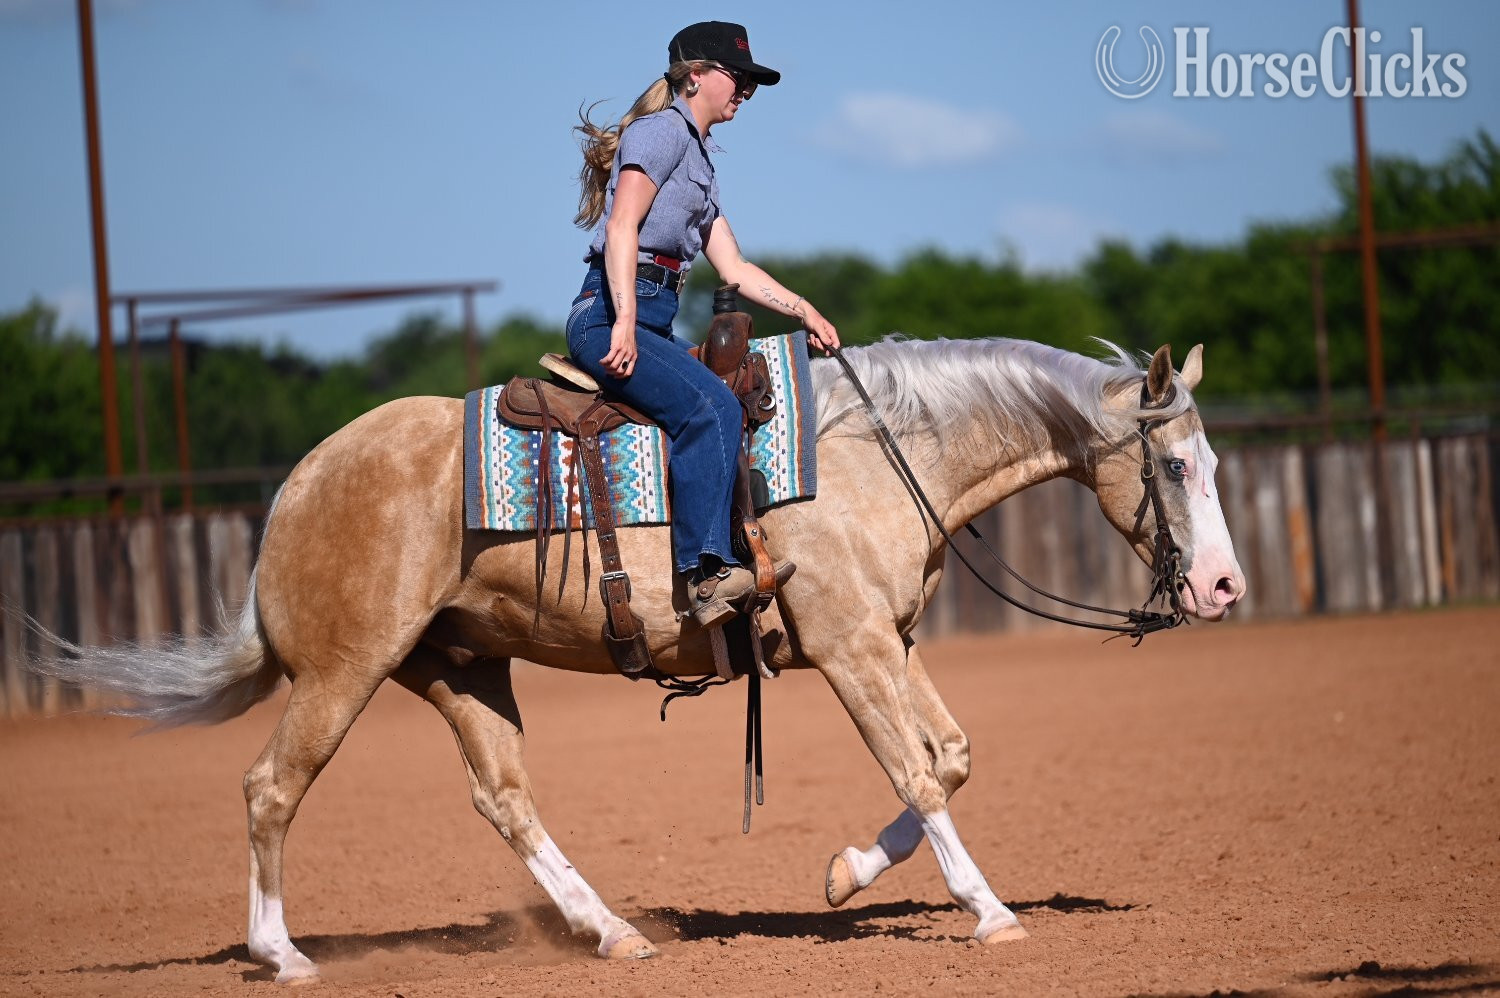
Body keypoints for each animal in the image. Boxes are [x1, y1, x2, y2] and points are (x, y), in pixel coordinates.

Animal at [37, 336, 1245, 983]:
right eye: (1176, 465)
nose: (1226, 588)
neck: (874, 451)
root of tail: (295, 486)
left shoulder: (887, 641)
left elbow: (948, 758)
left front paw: (846, 873)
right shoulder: (850, 645)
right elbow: (918, 769)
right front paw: (989, 912)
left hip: (460, 668)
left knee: (505, 799)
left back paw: (611, 932)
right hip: (345, 672)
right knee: (270, 787)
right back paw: (281, 953)